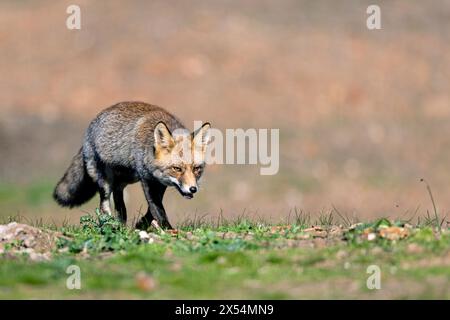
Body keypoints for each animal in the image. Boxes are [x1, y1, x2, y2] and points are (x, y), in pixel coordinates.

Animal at [53, 101, 212, 229]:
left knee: (119, 203)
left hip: (126, 180)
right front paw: (168, 229)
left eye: (197, 169)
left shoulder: (160, 183)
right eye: (177, 169)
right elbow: (157, 209)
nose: (193, 189)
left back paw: (121, 225)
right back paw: (111, 225)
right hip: (105, 181)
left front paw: (141, 224)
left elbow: (153, 209)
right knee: (104, 205)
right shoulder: (147, 180)